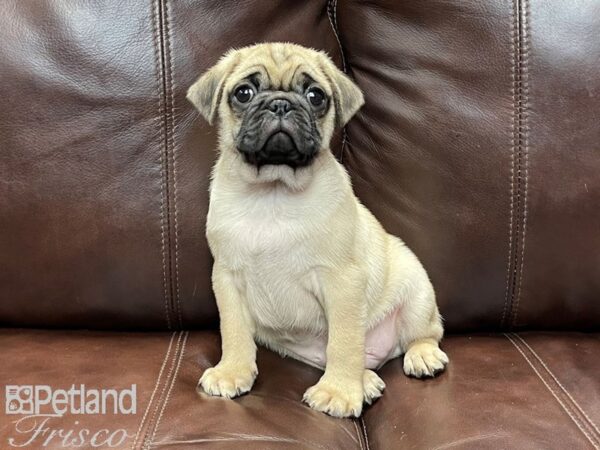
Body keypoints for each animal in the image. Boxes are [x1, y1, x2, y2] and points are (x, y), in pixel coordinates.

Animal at [186, 43, 446, 418]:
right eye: (243, 93)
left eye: (315, 96)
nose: (280, 103)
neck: (274, 193)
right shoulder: (227, 278)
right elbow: (233, 331)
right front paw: (232, 371)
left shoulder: (342, 282)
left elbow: (344, 342)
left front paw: (338, 392)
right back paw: (366, 381)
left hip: (417, 295)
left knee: (419, 335)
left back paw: (419, 356)